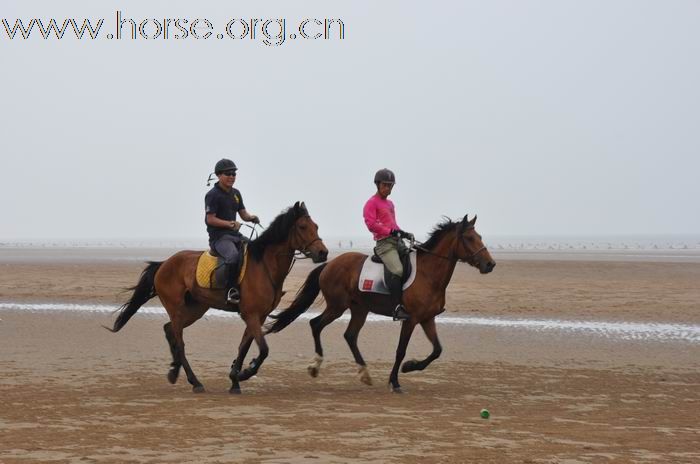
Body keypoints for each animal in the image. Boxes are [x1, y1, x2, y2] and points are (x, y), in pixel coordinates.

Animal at [106, 201, 328, 394]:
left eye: (316, 226)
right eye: (302, 226)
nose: (323, 253)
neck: (264, 265)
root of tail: (164, 263)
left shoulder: (259, 316)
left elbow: (244, 347)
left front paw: (235, 379)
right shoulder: (251, 314)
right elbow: (263, 349)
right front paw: (245, 372)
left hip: (195, 308)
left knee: (169, 330)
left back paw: (174, 371)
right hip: (176, 307)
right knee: (179, 341)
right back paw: (194, 381)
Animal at [266, 214, 494, 392]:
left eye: (480, 237)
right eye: (469, 238)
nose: (490, 264)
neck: (429, 274)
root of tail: (329, 264)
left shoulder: (427, 318)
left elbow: (437, 350)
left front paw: (410, 367)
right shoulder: (410, 319)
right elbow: (400, 350)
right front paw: (395, 381)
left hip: (359, 309)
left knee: (350, 335)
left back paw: (364, 373)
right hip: (337, 306)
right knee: (316, 324)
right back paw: (316, 366)